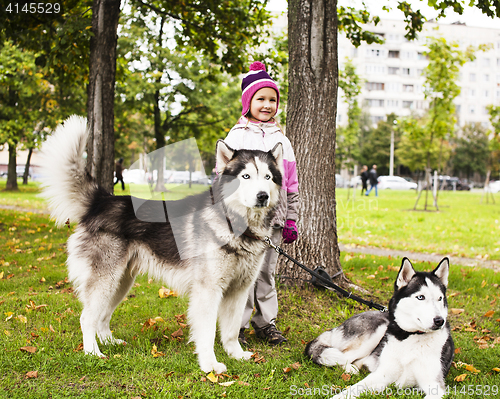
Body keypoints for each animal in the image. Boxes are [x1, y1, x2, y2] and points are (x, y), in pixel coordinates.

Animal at [41, 115, 284, 376]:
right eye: (245, 176)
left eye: (268, 177)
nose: (262, 196)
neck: (239, 227)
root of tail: (103, 200)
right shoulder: (208, 291)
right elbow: (208, 332)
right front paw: (209, 365)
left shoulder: (238, 290)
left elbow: (230, 331)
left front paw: (236, 355)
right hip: (106, 281)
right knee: (87, 318)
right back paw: (93, 353)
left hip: (121, 282)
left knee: (103, 317)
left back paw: (109, 341)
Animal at [304, 258, 454, 398]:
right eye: (421, 297)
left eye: (440, 298)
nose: (439, 321)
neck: (411, 336)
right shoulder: (382, 374)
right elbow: (352, 389)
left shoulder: (436, 386)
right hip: (377, 330)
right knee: (343, 356)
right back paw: (350, 368)